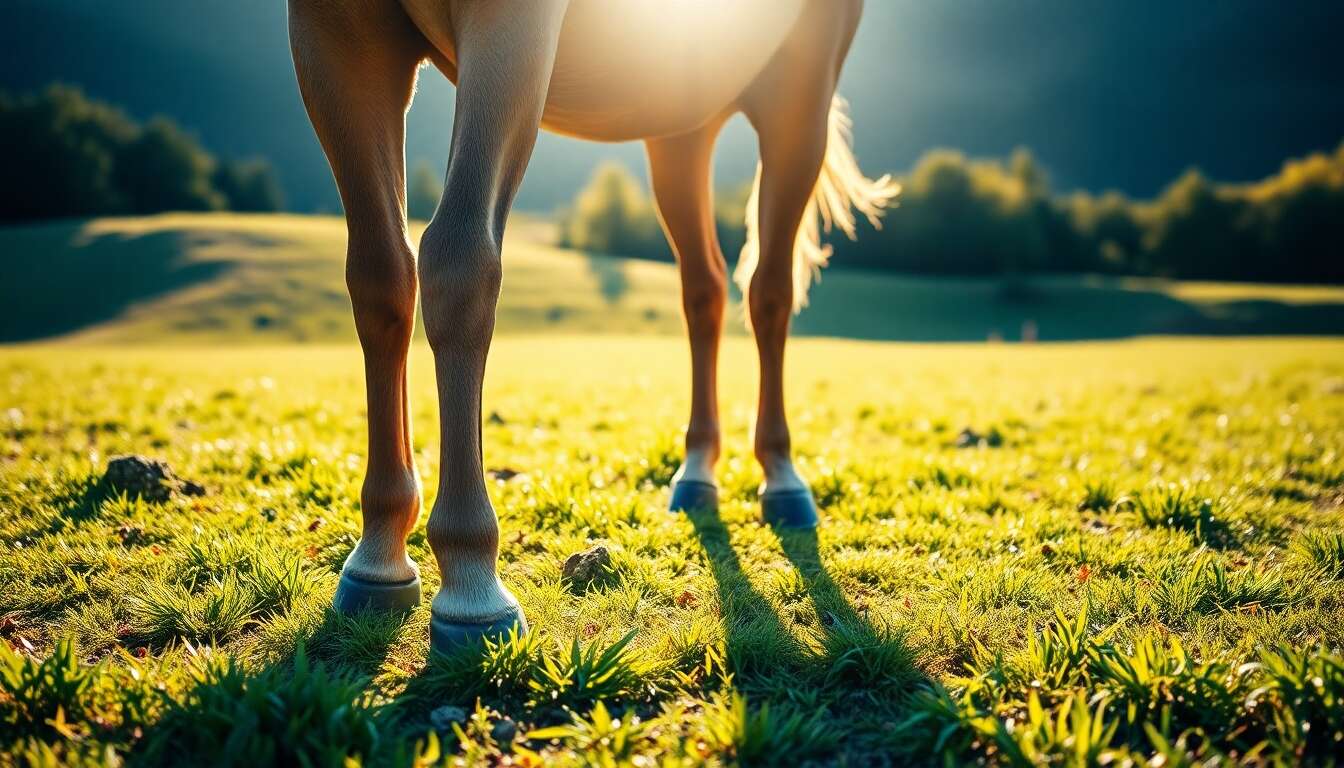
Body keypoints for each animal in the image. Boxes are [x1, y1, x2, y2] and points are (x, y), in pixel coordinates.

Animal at [287, 0, 897, 654]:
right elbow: (380, 277)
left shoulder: (511, 26)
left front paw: (471, 581)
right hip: (682, 119)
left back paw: (781, 475)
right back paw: (697, 469)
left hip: (798, 95)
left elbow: (459, 262)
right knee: (703, 288)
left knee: (769, 292)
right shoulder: (337, 36)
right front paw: (378, 552)